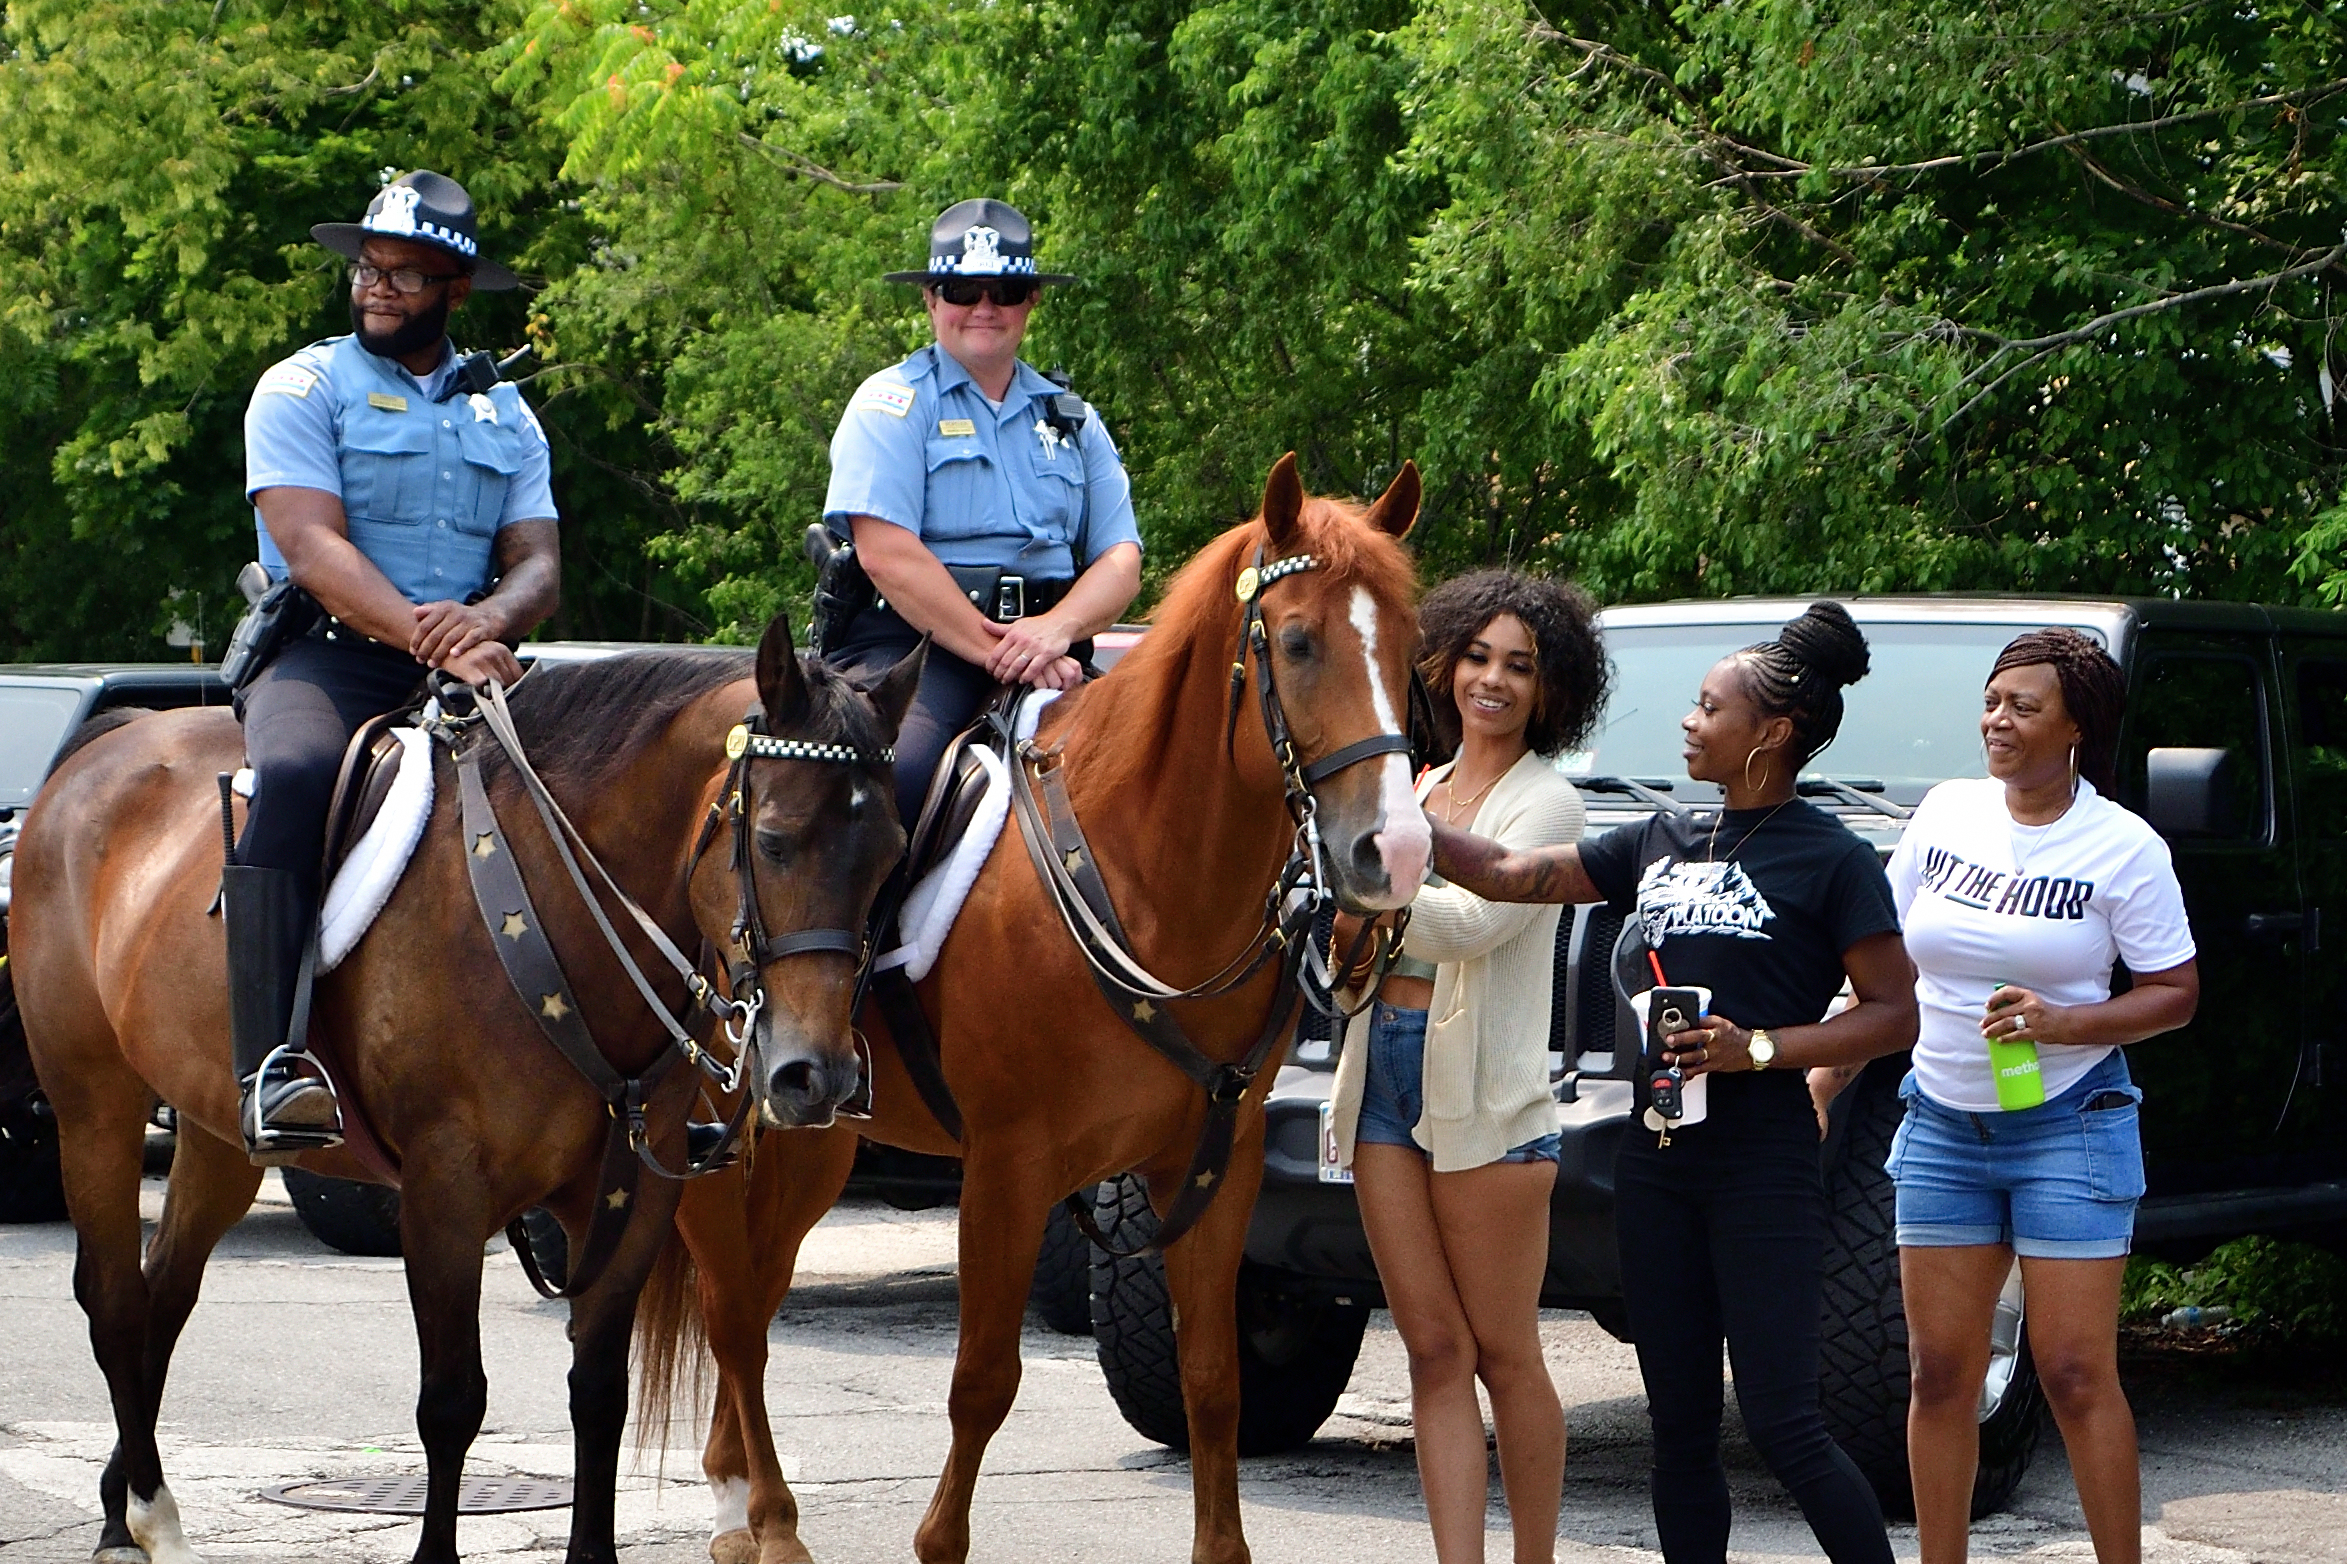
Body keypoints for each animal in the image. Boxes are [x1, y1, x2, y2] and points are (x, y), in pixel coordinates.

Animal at [11, 619, 924, 1559]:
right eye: (773, 840)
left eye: (891, 856)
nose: (816, 1075)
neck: (557, 910)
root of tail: (101, 753)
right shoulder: (445, 1193)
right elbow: (452, 1402)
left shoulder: (629, 1200)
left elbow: (600, 1394)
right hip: (95, 1110)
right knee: (115, 1297)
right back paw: (142, 1516)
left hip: (216, 1134)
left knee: (167, 1289)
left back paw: (126, 1498)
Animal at [628, 453, 1426, 1559]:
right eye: (1300, 641)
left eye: (1410, 646)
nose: (1394, 852)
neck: (1143, 882)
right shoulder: (1007, 1170)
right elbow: (981, 1383)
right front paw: (936, 1542)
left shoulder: (1213, 1168)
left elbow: (1212, 1384)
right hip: (719, 1128)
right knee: (735, 1309)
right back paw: (766, 1518)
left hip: (812, 1135)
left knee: (758, 1282)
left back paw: (736, 1491)